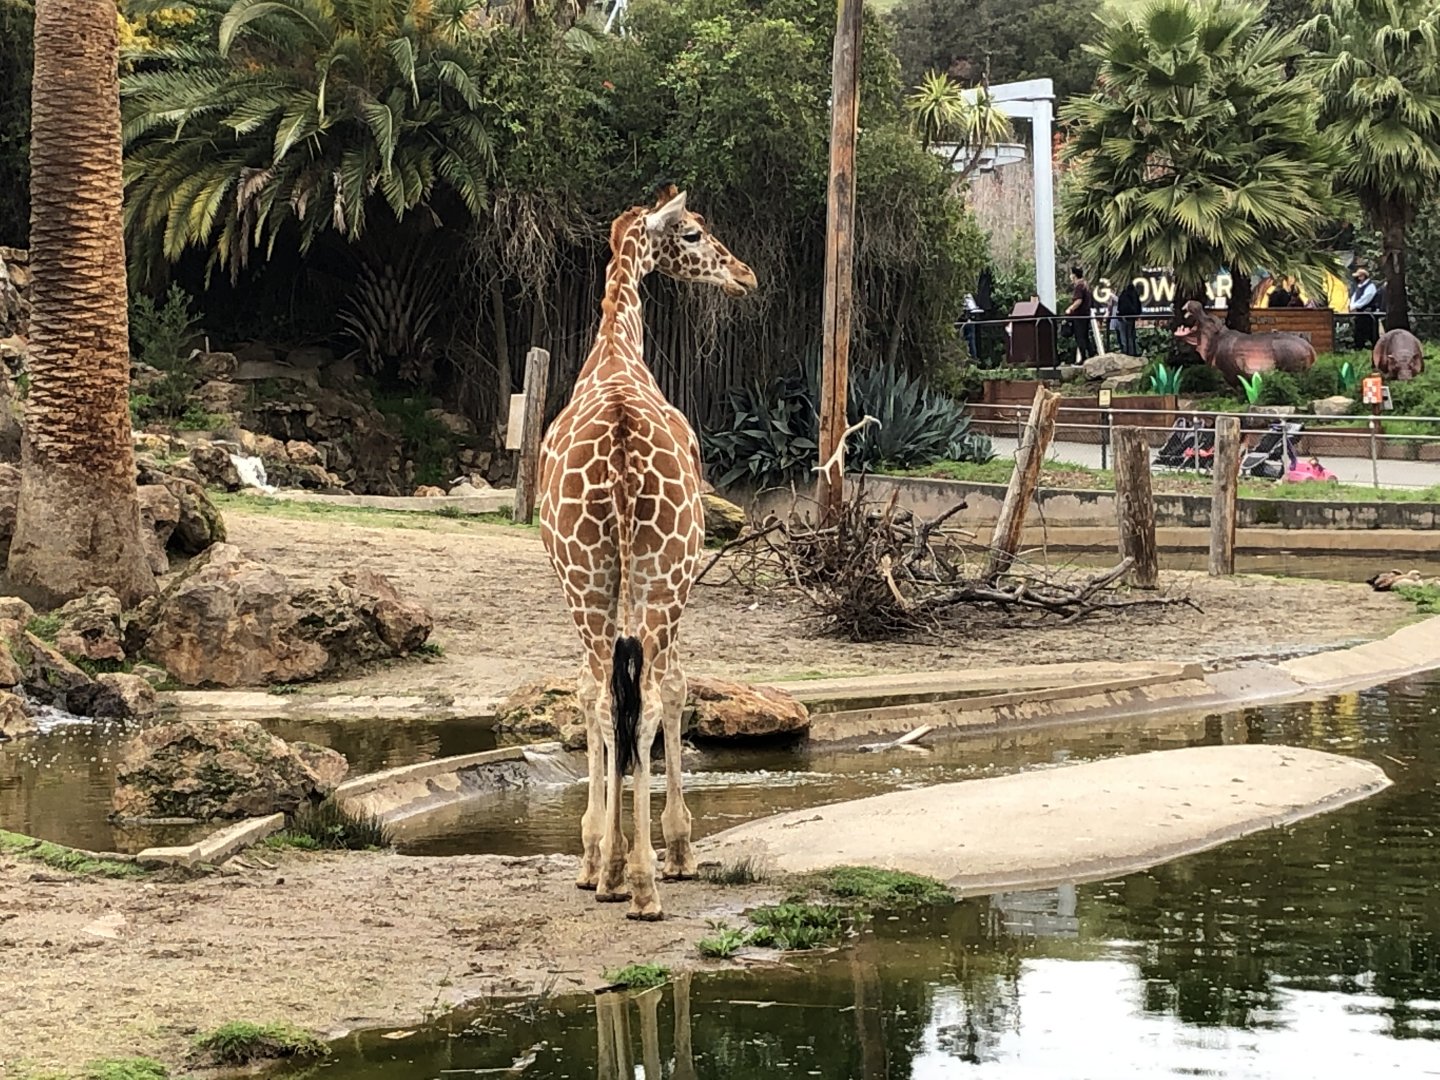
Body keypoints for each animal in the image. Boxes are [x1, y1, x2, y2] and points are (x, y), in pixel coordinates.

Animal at [537, 185, 756, 920]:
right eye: (693, 234)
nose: (745, 275)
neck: (616, 347)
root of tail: (625, 450)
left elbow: (611, 694)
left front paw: (605, 858)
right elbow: (663, 691)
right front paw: (666, 849)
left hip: (601, 577)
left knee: (625, 697)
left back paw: (628, 875)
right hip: (655, 574)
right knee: (643, 694)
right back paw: (639, 877)